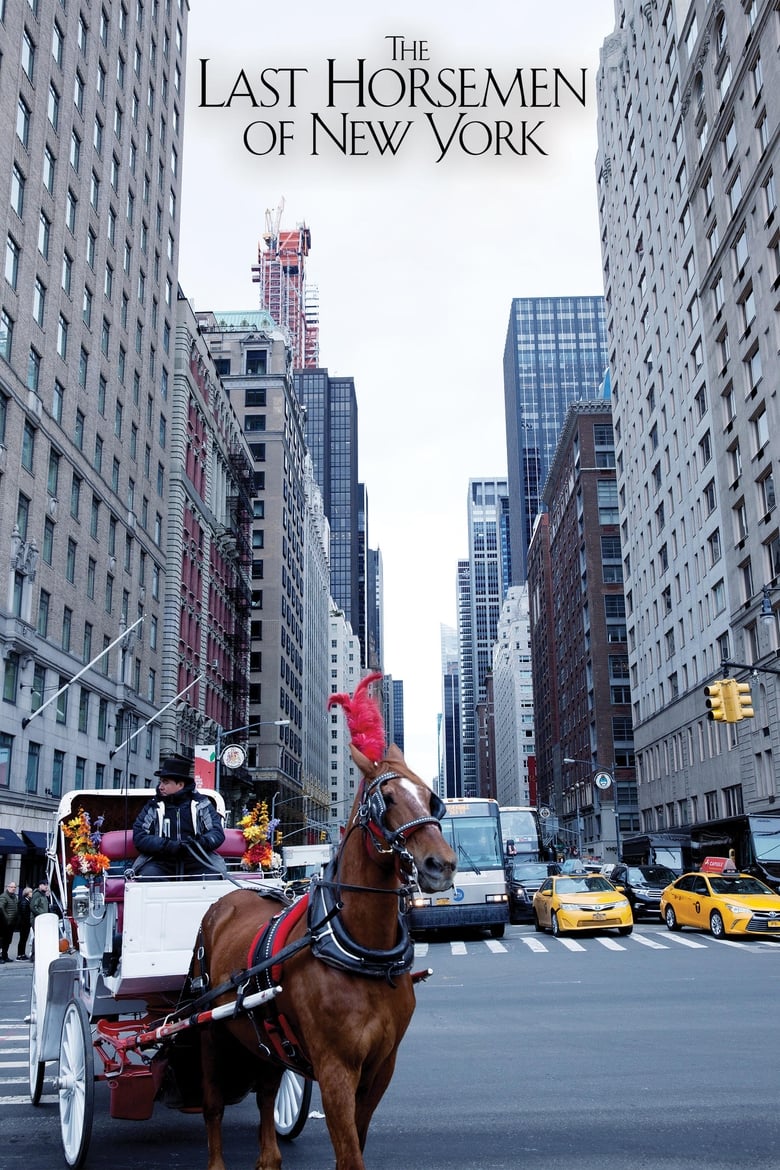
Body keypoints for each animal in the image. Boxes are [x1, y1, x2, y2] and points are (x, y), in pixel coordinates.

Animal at [194, 744, 458, 1165]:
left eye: (430, 798)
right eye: (386, 799)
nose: (442, 864)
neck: (360, 951)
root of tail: (229, 898)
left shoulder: (382, 1066)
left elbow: (355, 1144)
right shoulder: (336, 1068)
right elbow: (350, 1156)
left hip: (264, 1038)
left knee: (266, 1094)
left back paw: (269, 1159)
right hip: (209, 1030)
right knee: (213, 1106)